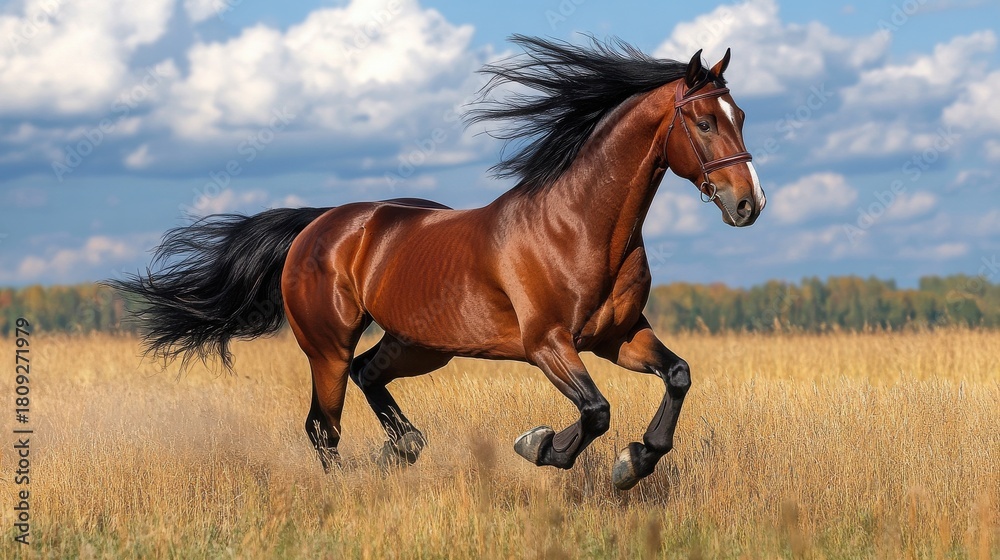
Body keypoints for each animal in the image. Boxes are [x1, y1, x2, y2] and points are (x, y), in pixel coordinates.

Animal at [112, 36, 765, 490]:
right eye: (704, 121)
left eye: (741, 117)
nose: (749, 204)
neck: (581, 226)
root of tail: (320, 225)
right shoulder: (548, 343)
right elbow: (595, 410)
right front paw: (540, 445)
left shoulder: (618, 337)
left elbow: (677, 376)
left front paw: (635, 461)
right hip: (328, 347)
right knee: (325, 425)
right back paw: (356, 481)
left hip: (422, 345)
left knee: (368, 377)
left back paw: (405, 448)